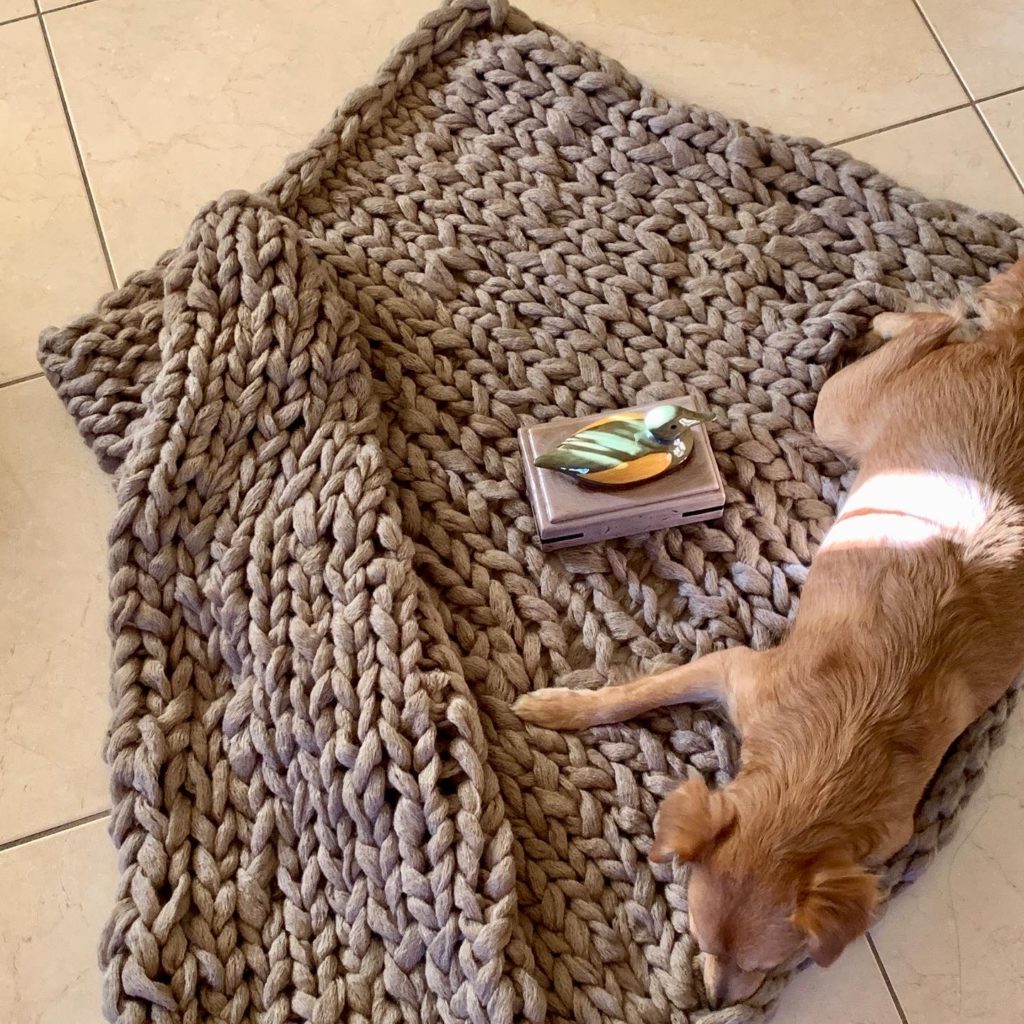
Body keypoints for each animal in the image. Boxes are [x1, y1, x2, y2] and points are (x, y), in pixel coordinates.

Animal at [516, 258, 1024, 1007]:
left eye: (767, 966)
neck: (828, 757)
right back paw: (883, 317)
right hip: (837, 417)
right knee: (931, 324)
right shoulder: (731, 669)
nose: (717, 1001)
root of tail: (1013, 356)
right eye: (701, 938)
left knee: (937, 324)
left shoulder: (887, 825)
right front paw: (560, 708)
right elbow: (632, 693)